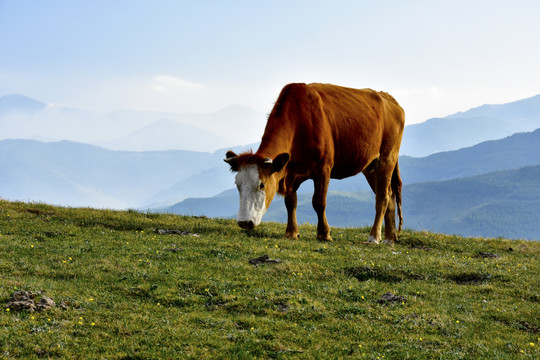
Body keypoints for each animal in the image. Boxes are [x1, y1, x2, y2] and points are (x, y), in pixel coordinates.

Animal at [225, 83, 404, 243]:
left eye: (262, 185)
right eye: (237, 185)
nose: (244, 222)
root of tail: (389, 99)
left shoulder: (323, 169)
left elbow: (319, 202)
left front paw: (324, 234)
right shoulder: (289, 173)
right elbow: (291, 203)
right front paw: (291, 232)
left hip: (387, 158)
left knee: (382, 197)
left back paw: (374, 236)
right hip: (370, 166)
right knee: (390, 195)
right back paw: (389, 238)